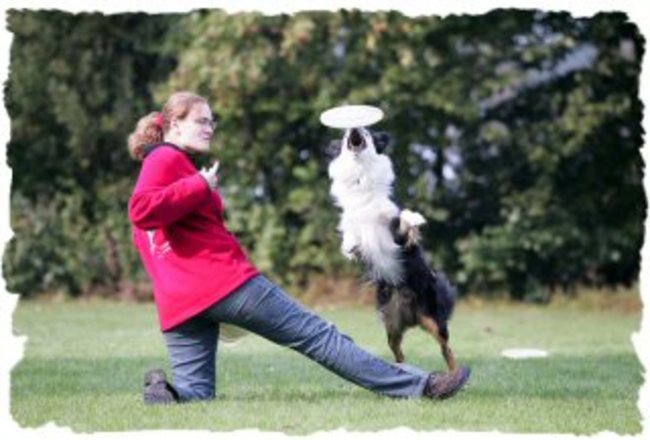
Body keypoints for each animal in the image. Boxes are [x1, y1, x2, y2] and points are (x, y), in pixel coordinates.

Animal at [326, 127, 458, 372]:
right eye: (346, 134)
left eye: (367, 132)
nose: (355, 129)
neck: (361, 178)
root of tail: (412, 317)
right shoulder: (353, 224)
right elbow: (352, 237)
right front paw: (349, 246)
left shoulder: (396, 232)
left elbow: (403, 220)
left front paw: (414, 217)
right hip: (391, 323)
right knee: (399, 353)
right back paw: (402, 368)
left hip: (433, 320)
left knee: (447, 350)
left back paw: (456, 373)